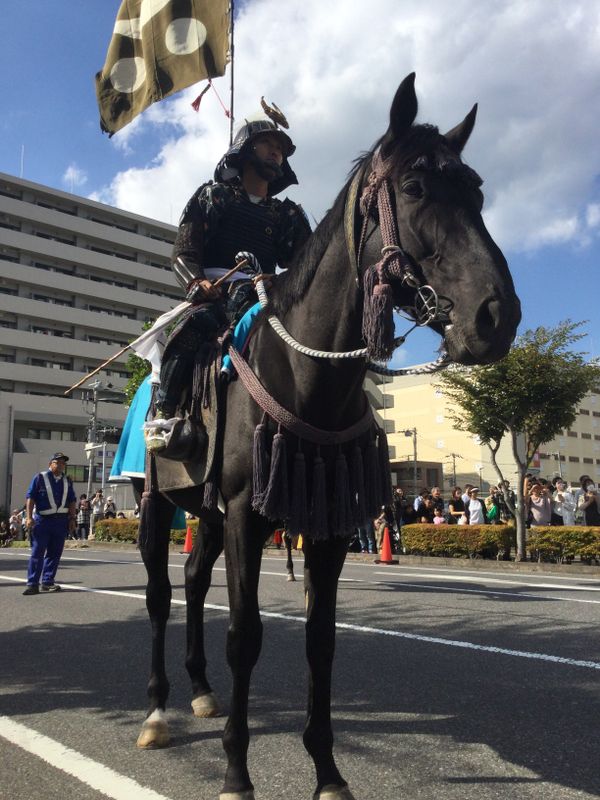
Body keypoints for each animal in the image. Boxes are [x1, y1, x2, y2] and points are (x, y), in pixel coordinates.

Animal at [134, 72, 516, 796]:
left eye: (479, 192)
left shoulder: (327, 520)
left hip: (204, 511)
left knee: (193, 582)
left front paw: (328, 771)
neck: (307, 373)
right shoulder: (246, 515)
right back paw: (158, 709)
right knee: (161, 595)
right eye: (416, 188)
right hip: (154, 500)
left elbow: (321, 640)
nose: (498, 316)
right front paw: (237, 771)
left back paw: (200, 690)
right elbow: (246, 635)